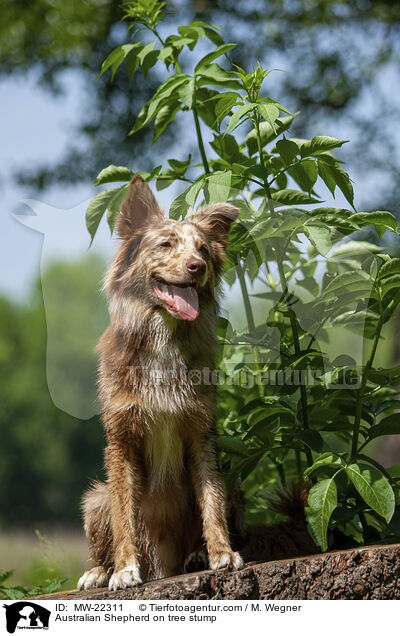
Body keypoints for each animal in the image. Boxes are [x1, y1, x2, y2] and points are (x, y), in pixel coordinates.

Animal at [76, 175, 242, 592]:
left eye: (203, 248)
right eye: (165, 244)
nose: (198, 266)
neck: (163, 334)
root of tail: (163, 565)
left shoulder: (201, 436)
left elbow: (211, 503)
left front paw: (221, 553)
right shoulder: (121, 440)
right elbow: (124, 517)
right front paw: (124, 570)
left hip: (236, 484)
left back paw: (194, 555)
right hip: (95, 497)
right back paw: (98, 571)